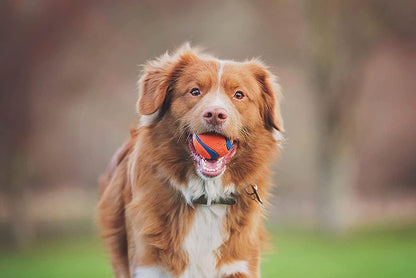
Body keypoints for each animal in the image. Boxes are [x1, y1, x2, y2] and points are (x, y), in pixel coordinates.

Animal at [99, 44, 284, 276]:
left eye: (239, 95)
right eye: (195, 91)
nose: (215, 114)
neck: (206, 196)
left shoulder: (240, 264)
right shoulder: (147, 265)